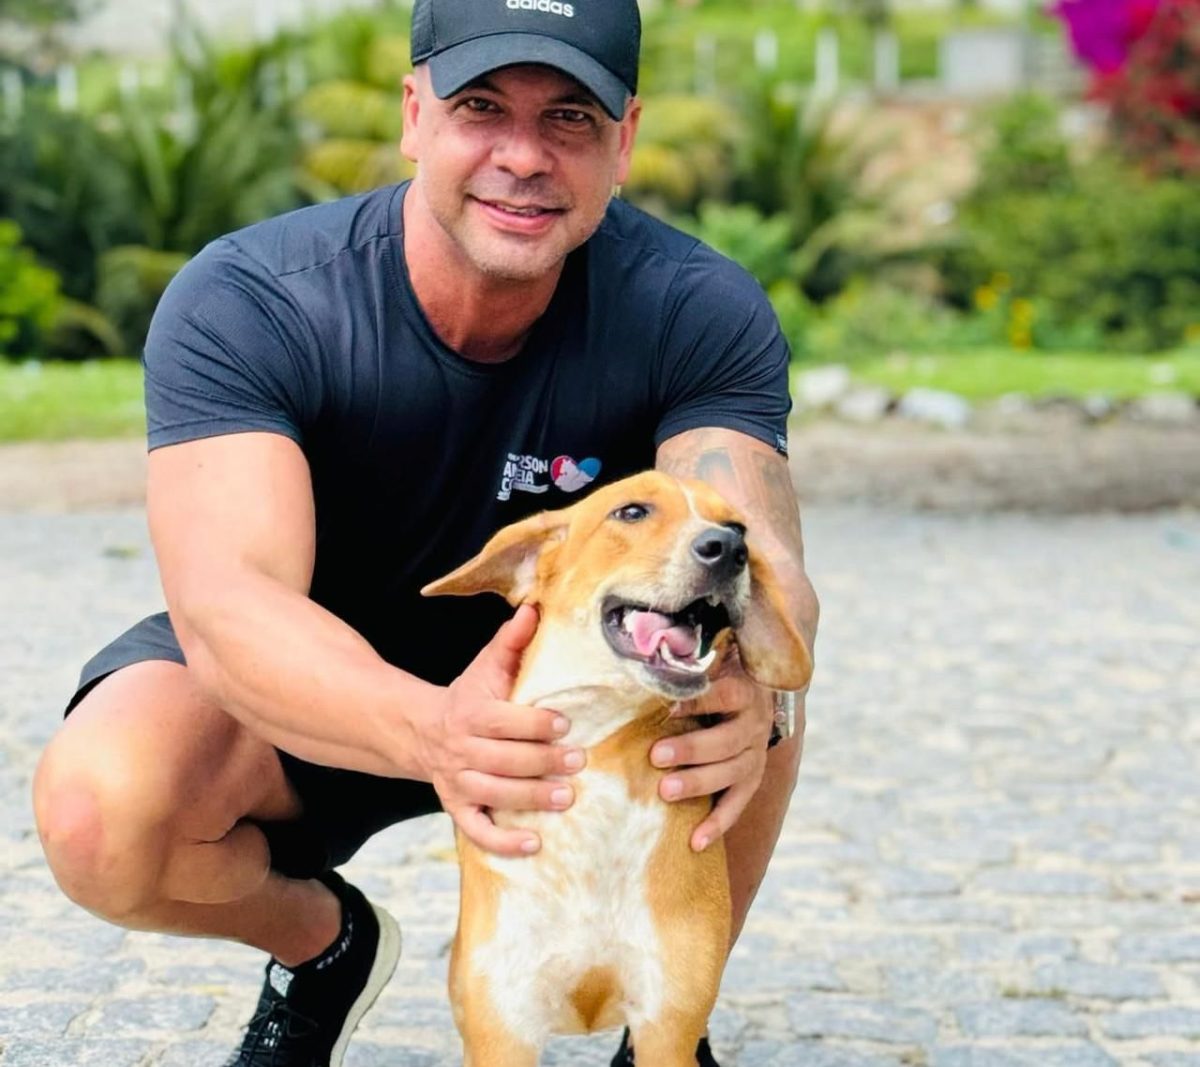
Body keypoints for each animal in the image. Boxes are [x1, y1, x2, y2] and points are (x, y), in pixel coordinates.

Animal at [422, 470, 812, 1066]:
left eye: (739, 526)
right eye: (632, 512)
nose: (728, 549)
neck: (596, 755)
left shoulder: (667, 1026)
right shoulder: (503, 1030)